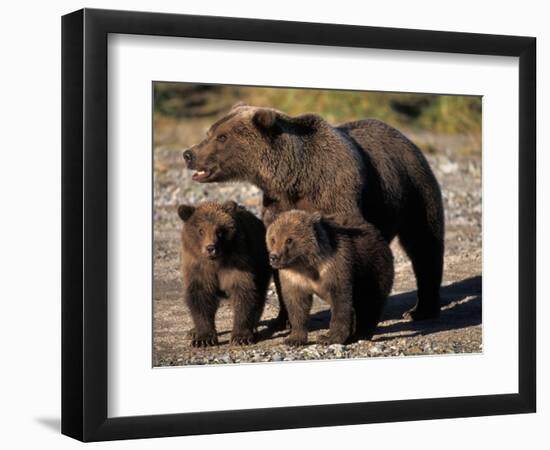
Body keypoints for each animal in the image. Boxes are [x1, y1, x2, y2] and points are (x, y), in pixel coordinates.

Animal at [183, 103, 446, 328]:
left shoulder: (336, 194)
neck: (294, 178)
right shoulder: (277, 206)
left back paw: (420, 310)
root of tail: (406, 138)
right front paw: (283, 319)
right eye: (209, 132)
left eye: (222, 137)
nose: (188, 154)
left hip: (413, 187)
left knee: (424, 244)